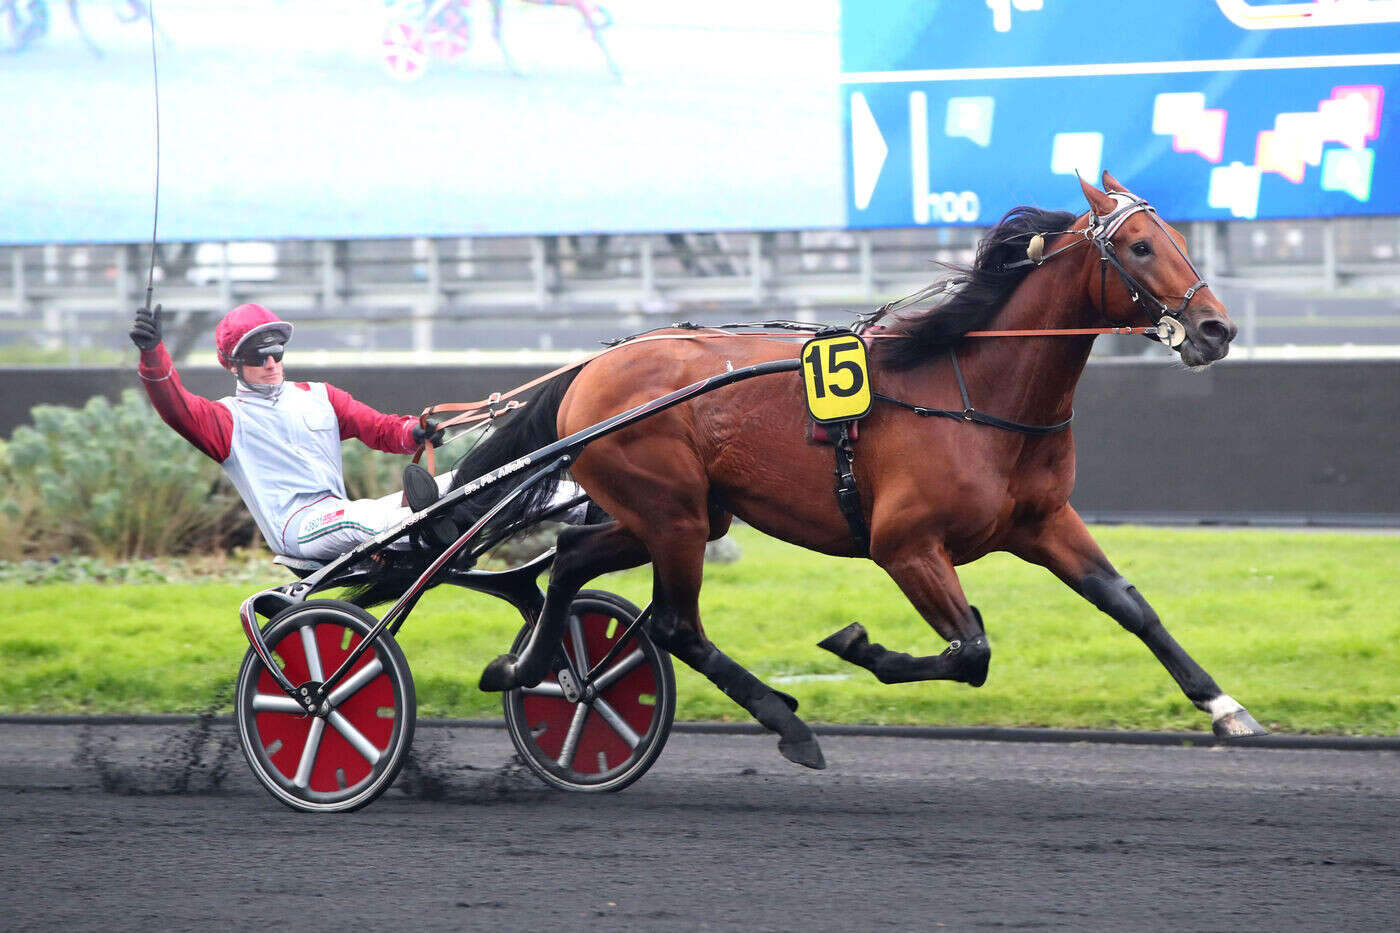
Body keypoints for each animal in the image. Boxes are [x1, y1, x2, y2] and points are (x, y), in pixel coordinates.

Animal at [417, 170, 1271, 767]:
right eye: (1139, 246)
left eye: (1178, 238)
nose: (1216, 327)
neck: (973, 391)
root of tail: (591, 369)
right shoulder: (906, 544)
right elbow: (970, 650)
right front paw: (860, 646)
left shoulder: (1042, 521)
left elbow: (1130, 604)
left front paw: (1227, 707)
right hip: (672, 512)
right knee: (672, 621)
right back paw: (782, 719)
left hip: (674, 513)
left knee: (569, 560)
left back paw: (529, 666)